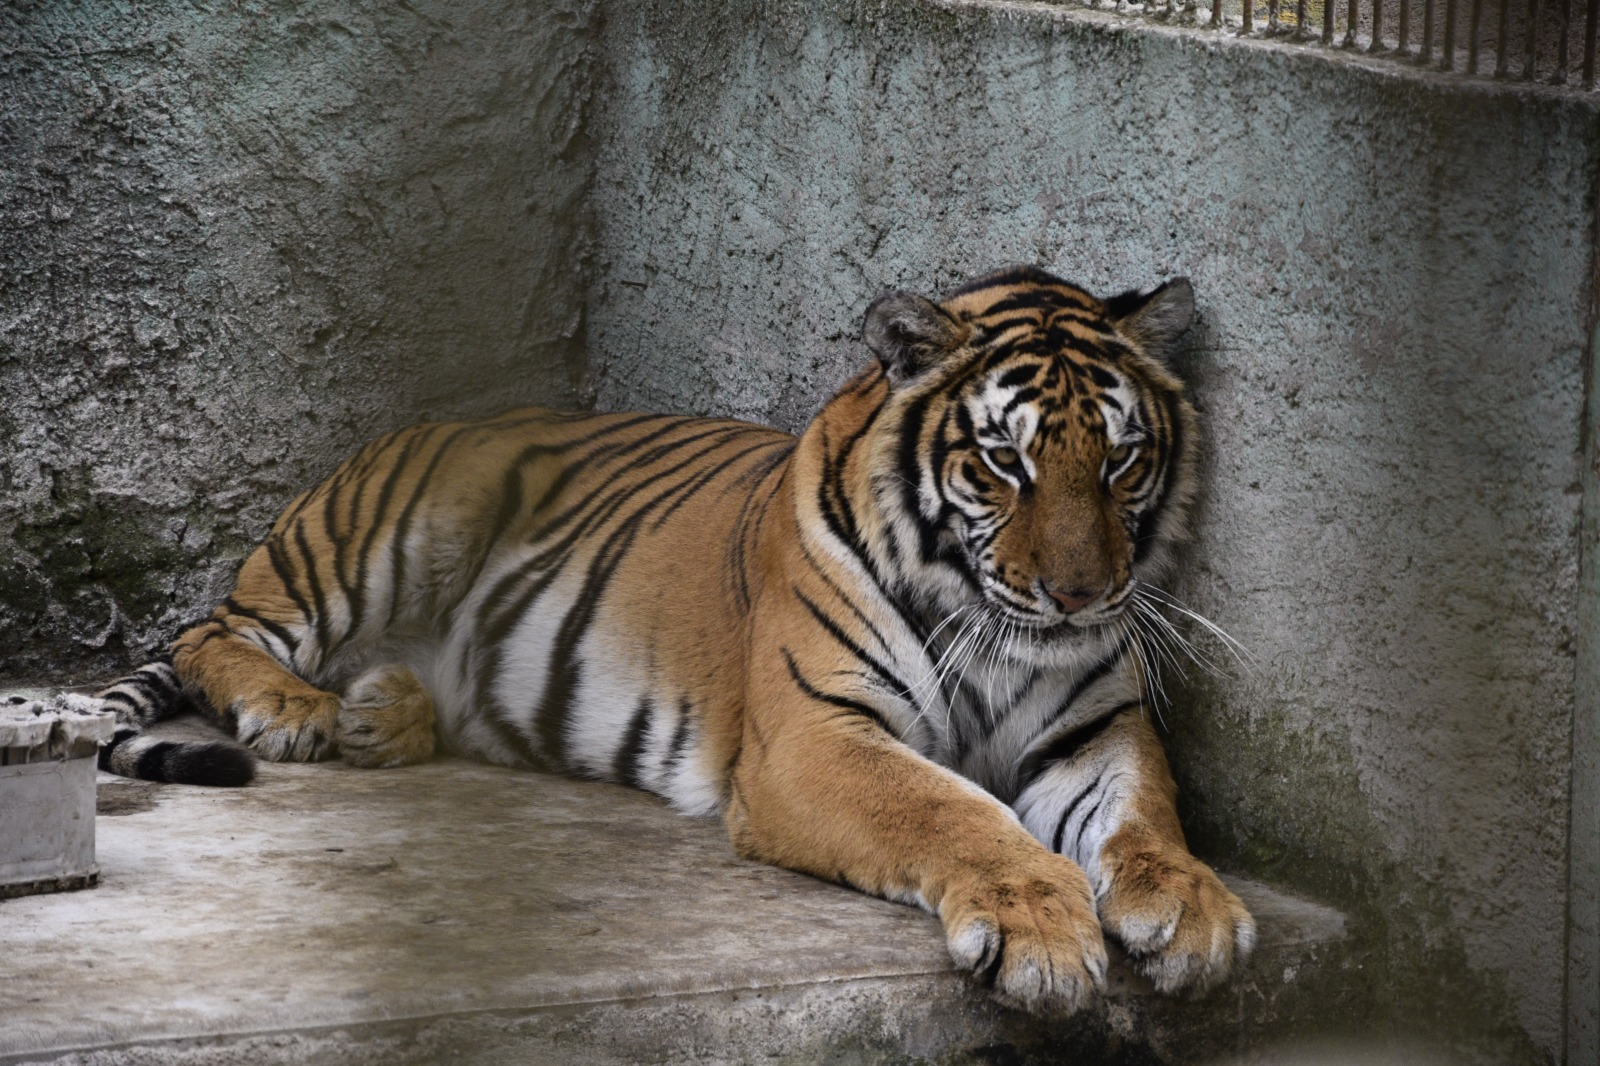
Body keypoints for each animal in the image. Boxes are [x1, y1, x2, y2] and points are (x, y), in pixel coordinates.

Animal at [93, 264, 1254, 1005]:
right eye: (1004, 462)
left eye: (1120, 461)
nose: (1079, 596)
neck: (998, 629)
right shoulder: (815, 739)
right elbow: (955, 810)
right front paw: (1042, 928)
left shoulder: (1096, 729)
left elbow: (1146, 812)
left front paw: (1193, 905)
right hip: (374, 539)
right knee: (209, 627)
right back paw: (296, 709)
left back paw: (381, 714)